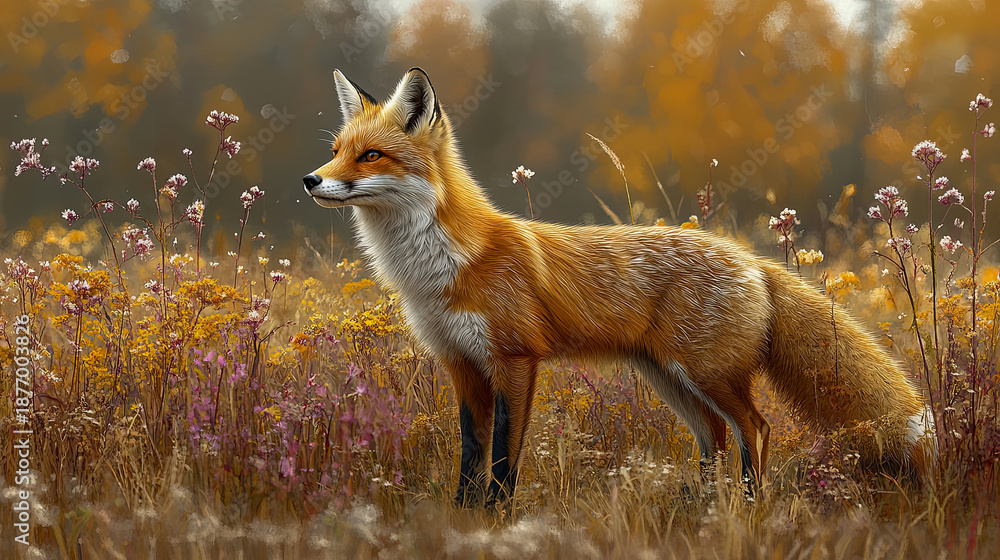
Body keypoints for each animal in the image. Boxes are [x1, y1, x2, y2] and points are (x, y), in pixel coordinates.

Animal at [302, 67, 936, 505]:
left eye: (371, 155)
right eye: (335, 151)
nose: (310, 179)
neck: (442, 268)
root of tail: (752, 260)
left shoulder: (515, 359)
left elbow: (504, 457)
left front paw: (496, 518)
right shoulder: (460, 363)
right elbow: (470, 453)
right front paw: (462, 516)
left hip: (704, 373)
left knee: (754, 429)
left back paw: (751, 507)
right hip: (669, 377)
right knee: (715, 435)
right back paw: (707, 508)